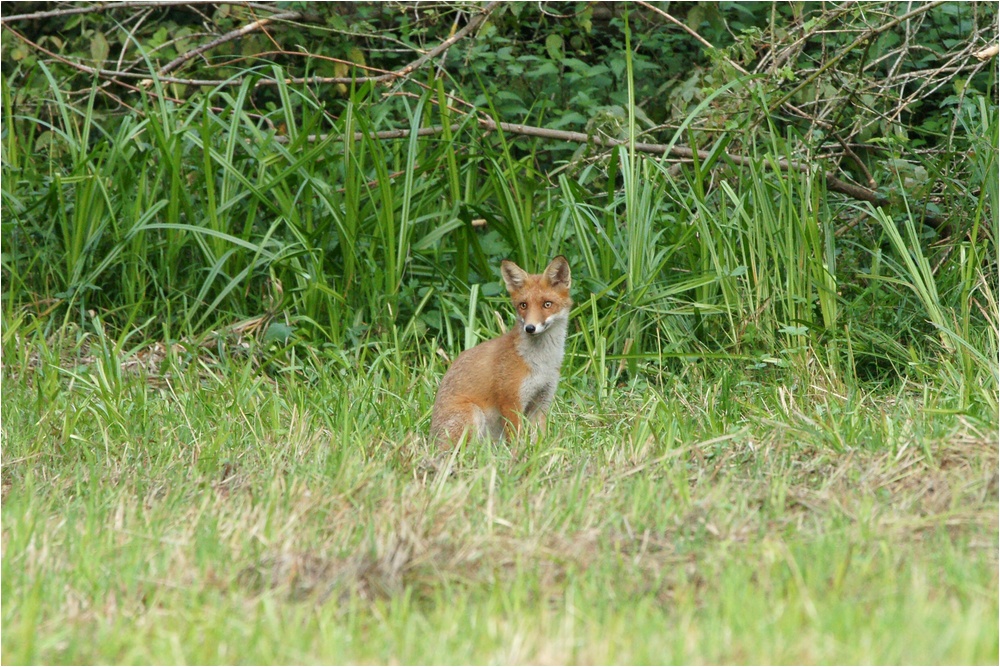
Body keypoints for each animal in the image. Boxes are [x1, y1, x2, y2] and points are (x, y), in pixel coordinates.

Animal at [428, 258, 572, 446]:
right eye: (523, 305)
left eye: (547, 304)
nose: (530, 328)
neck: (541, 364)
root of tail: (430, 438)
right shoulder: (511, 401)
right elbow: (517, 439)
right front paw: (518, 454)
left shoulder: (542, 401)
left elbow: (537, 441)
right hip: (473, 414)